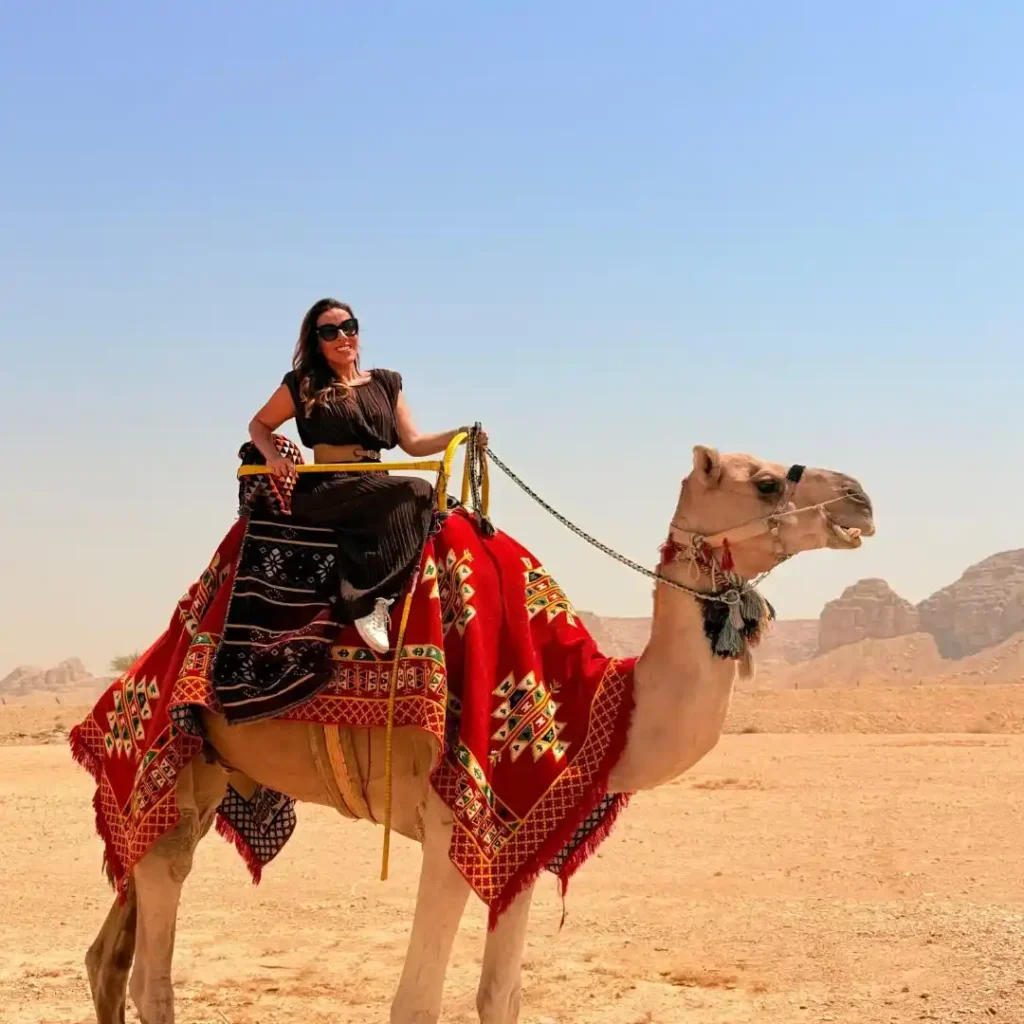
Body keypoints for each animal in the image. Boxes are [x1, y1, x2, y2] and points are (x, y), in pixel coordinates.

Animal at [84, 444, 874, 1024]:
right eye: (767, 482)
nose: (861, 498)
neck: (600, 700)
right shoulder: (448, 822)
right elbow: (416, 1004)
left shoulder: (519, 831)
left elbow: (501, 997)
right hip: (171, 750)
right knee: (152, 967)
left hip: (198, 785)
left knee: (110, 953)